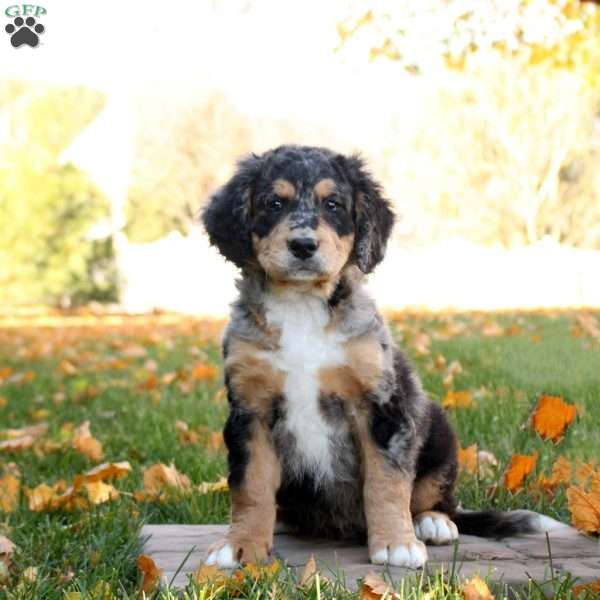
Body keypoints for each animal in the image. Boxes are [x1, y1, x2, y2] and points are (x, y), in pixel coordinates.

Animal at [203, 144, 568, 568]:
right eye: (273, 203)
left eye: (333, 204)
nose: (303, 245)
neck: (302, 308)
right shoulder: (250, 410)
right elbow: (251, 484)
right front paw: (241, 544)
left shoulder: (380, 406)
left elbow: (387, 482)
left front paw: (395, 543)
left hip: (439, 431)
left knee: (434, 497)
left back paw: (432, 523)